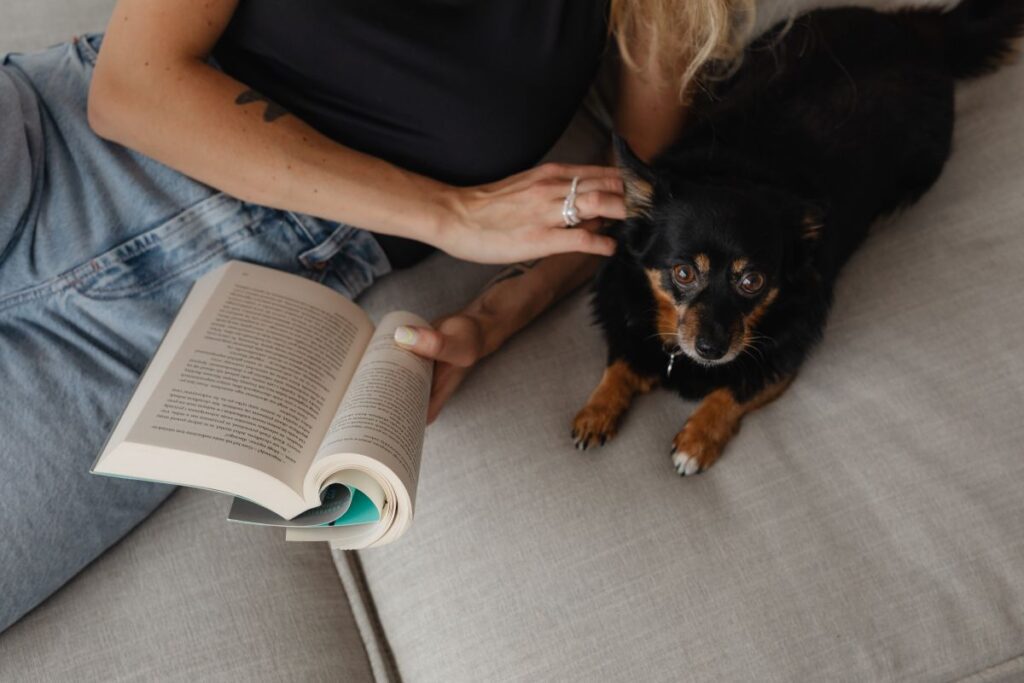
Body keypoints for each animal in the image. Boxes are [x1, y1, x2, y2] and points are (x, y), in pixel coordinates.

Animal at [573, 1, 1019, 475]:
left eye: (752, 282)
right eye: (683, 273)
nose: (712, 349)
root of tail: (915, 29)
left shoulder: (779, 362)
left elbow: (731, 394)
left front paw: (696, 441)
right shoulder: (626, 324)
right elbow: (620, 365)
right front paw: (596, 411)